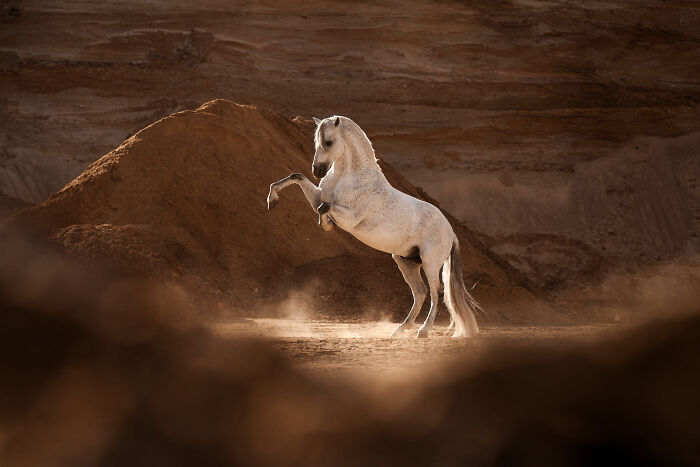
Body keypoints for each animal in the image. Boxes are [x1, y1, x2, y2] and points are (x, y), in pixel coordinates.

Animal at [267, 115, 482, 338]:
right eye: (316, 142)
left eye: (328, 142)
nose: (317, 171)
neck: (351, 178)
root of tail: (451, 232)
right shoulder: (317, 196)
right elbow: (297, 179)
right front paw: (272, 200)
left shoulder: (348, 218)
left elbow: (324, 207)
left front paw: (326, 225)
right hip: (405, 261)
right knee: (420, 292)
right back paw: (400, 329)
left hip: (430, 263)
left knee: (435, 293)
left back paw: (423, 331)